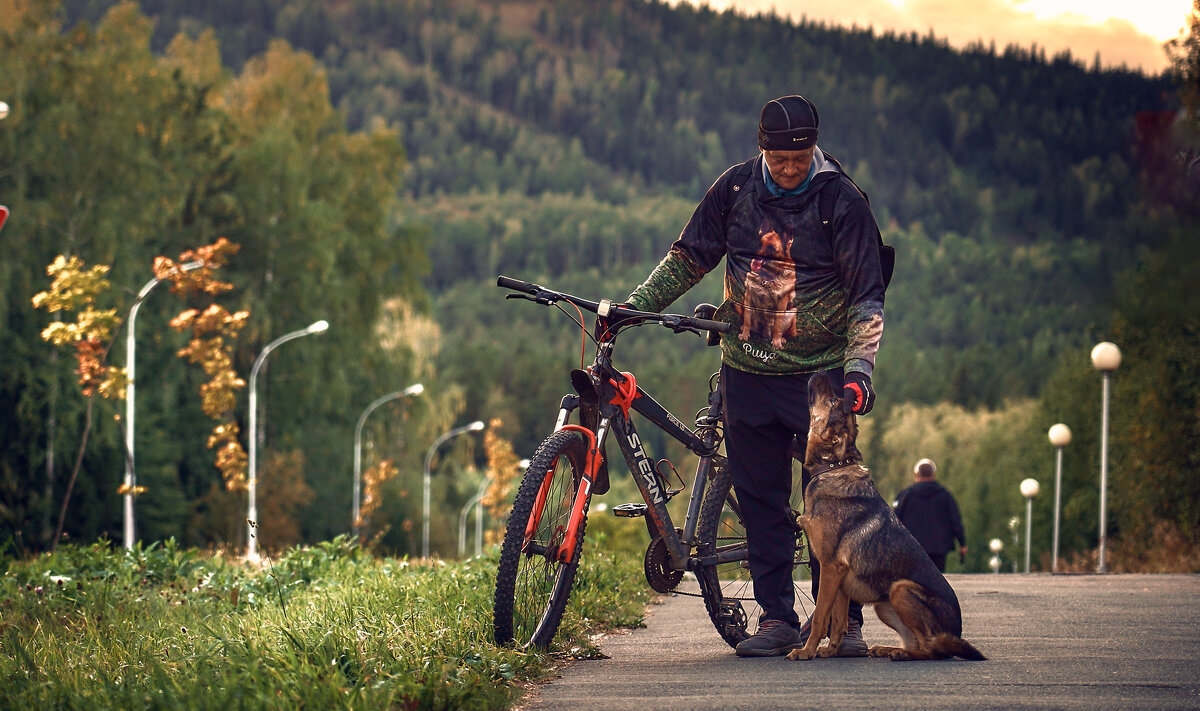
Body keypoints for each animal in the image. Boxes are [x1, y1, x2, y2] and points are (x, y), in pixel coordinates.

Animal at [787, 374, 984, 662]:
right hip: (885, 605)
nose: (820, 373)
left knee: (932, 650)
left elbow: (822, 616)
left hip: (900, 589)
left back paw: (901, 654)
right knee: (918, 644)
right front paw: (832, 651)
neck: (833, 467)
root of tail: (955, 633)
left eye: (833, 400)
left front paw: (806, 651)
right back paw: (888, 649)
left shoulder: (830, 568)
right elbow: (839, 621)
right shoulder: (839, 579)